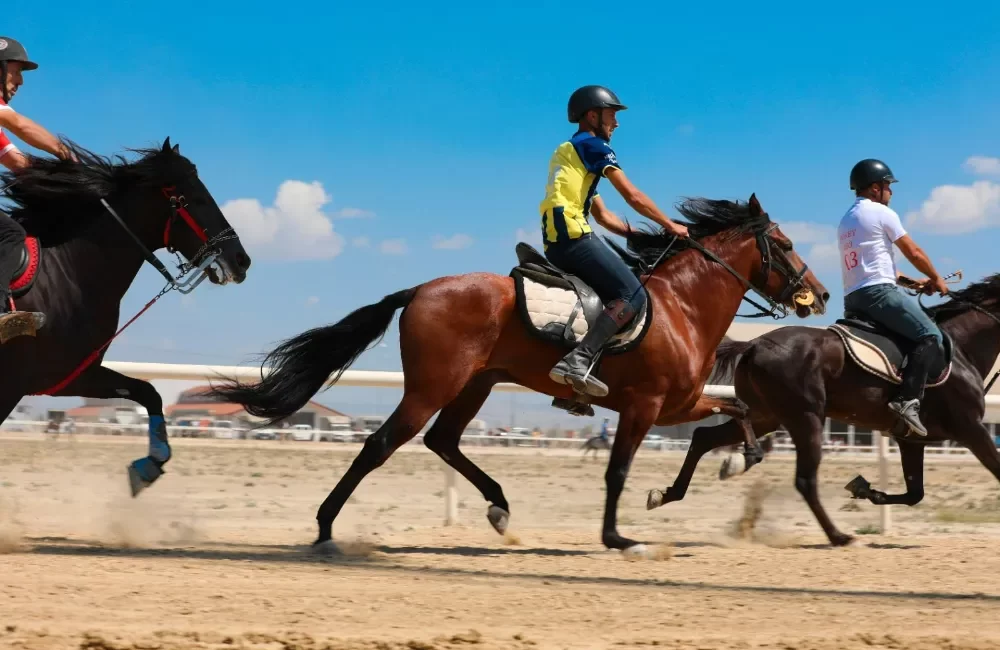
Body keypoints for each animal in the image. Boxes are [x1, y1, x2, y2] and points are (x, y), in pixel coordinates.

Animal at [0, 135, 250, 492]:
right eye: (197, 198)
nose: (241, 259)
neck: (65, 273)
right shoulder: (17, 383)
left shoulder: (70, 374)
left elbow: (149, 392)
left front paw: (151, 463)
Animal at [209, 191, 828, 552]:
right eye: (786, 243)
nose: (818, 295)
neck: (683, 308)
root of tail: (420, 290)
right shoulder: (645, 407)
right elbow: (617, 472)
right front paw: (617, 537)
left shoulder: (679, 404)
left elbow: (734, 412)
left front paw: (731, 465)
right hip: (433, 386)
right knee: (381, 444)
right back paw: (325, 528)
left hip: (474, 385)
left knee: (443, 441)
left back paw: (500, 508)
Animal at [644, 270, 1000, 544]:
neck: (961, 347)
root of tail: (753, 345)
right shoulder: (971, 429)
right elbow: (994, 470)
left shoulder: (911, 439)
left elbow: (916, 493)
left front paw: (865, 489)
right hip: (806, 419)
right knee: (804, 480)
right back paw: (838, 536)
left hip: (766, 417)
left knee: (703, 437)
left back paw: (671, 492)